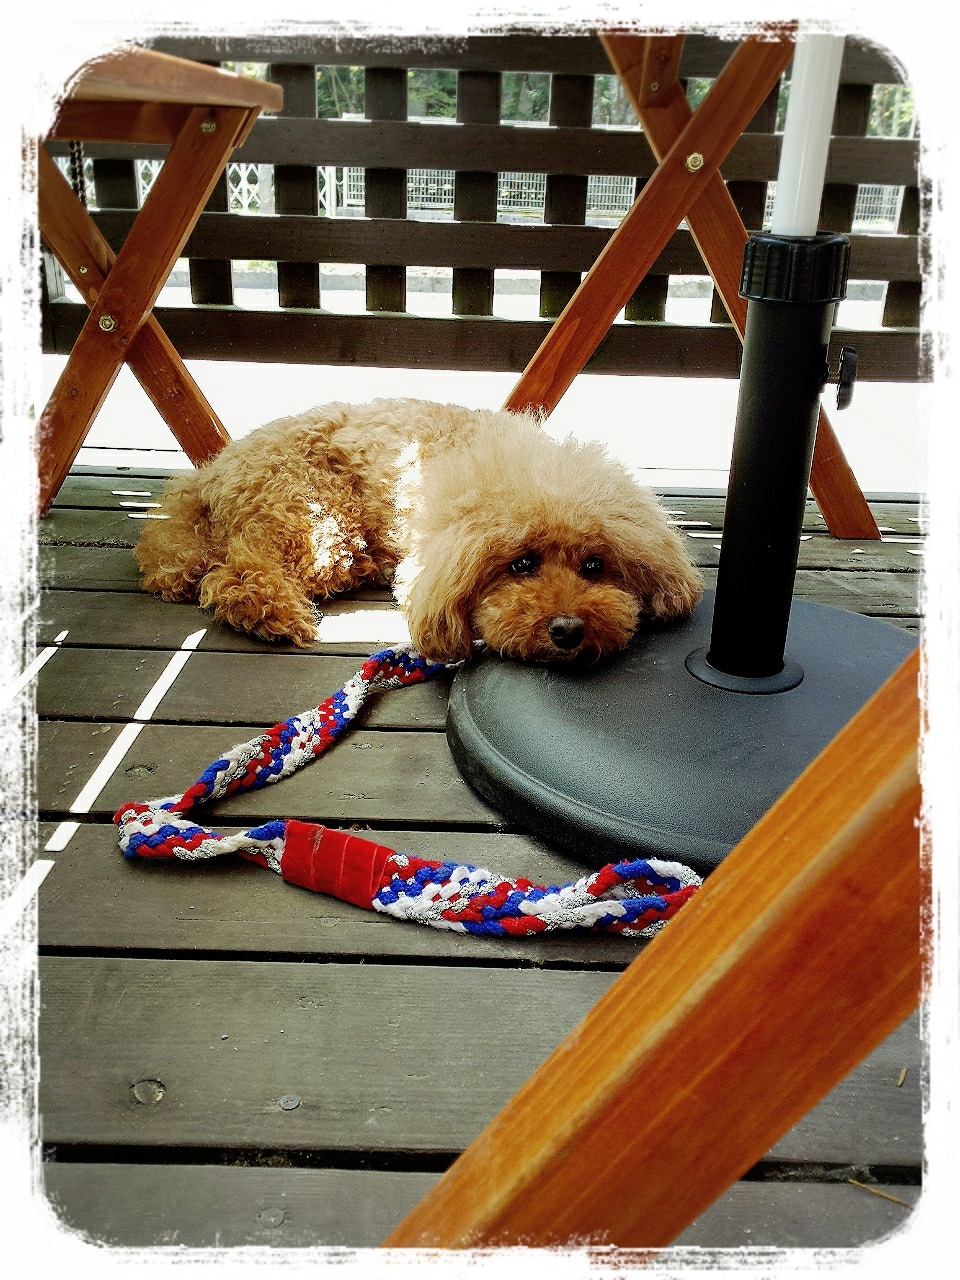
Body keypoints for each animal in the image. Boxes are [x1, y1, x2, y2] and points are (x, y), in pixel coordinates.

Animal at [134, 398, 703, 663]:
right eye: (522, 564)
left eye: (594, 566)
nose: (567, 630)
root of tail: (211, 474)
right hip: (313, 518)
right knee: (236, 574)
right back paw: (277, 614)